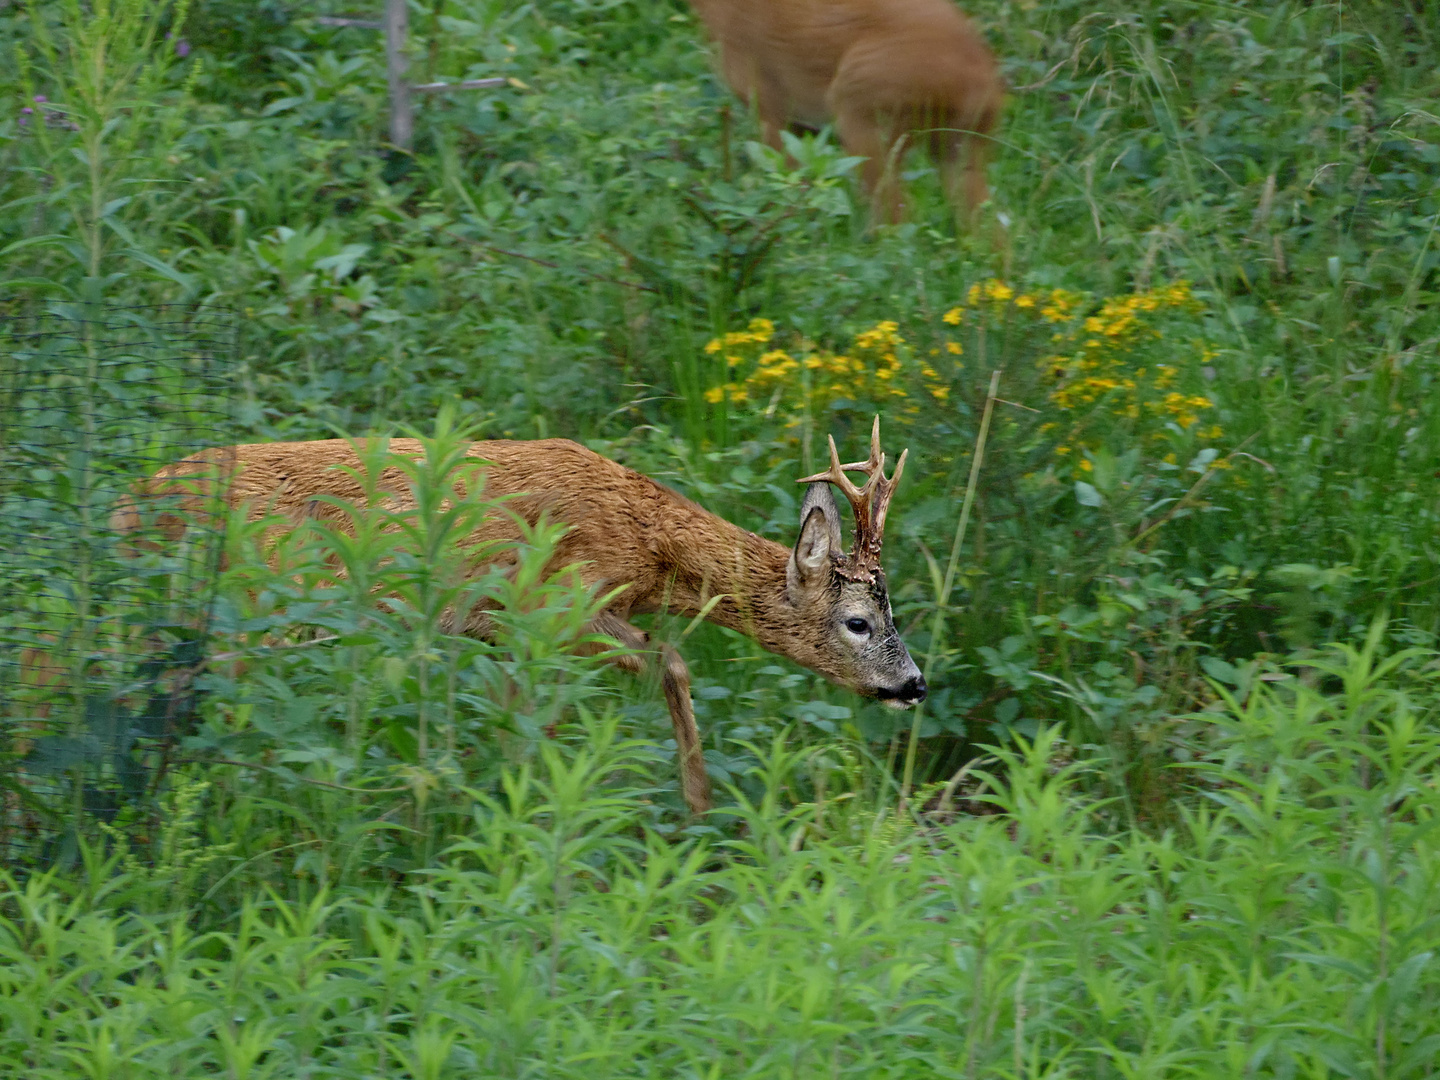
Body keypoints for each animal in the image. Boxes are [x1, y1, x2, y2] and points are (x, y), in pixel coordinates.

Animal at [140, 417, 927, 817]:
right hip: (248, 610)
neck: (649, 543)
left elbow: (534, 708)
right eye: (859, 621)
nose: (915, 683)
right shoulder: (553, 603)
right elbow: (666, 661)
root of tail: (133, 501)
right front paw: (696, 806)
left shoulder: (517, 627)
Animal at [685, 0, 1002, 223]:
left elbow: (787, 187)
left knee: (899, 216)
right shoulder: (802, 124)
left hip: (859, 110)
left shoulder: (765, 101)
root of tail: (981, 79)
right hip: (960, 143)